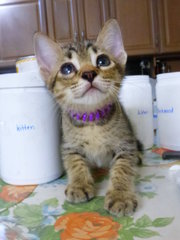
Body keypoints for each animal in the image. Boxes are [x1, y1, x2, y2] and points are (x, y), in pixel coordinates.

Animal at [33, 19, 141, 217]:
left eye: (103, 61)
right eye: (67, 68)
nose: (89, 73)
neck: (92, 121)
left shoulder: (126, 144)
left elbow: (123, 167)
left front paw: (120, 196)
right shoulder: (68, 145)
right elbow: (74, 162)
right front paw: (79, 184)